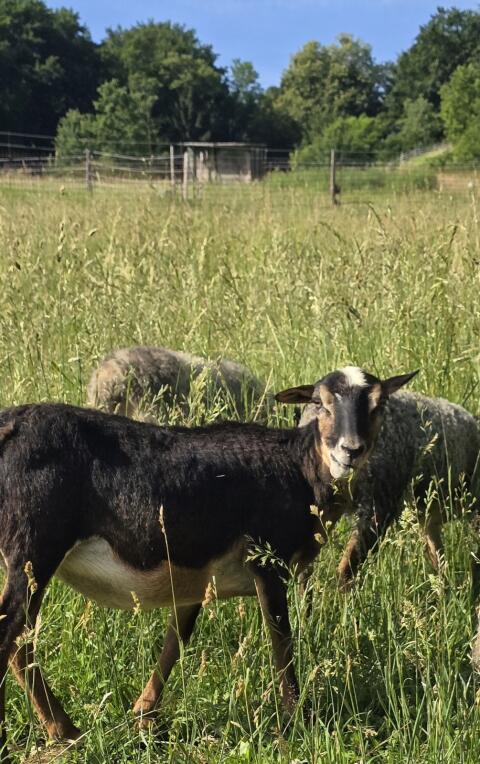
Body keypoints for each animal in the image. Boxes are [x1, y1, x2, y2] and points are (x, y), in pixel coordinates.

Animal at [0, 367, 415, 759]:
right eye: (320, 403)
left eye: (378, 405)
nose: (351, 450)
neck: (298, 469)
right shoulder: (267, 560)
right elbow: (281, 644)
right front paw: (296, 720)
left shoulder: (195, 580)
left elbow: (175, 641)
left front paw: (144, 717)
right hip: (34, 546)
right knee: (11, 632)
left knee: (21, 641)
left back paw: (65, 730)